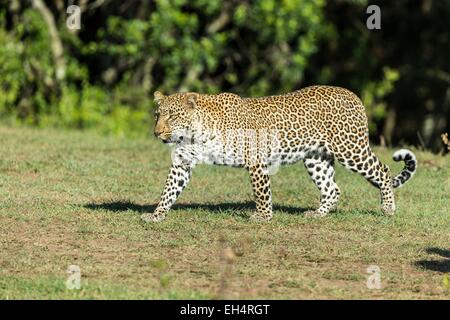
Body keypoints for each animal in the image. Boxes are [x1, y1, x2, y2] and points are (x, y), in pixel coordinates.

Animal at [142, 85, 418, 222]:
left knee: (383, 170)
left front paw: (263, 217)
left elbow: (261, 192)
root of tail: (354, 95)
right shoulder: (182, 162)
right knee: (332, 189)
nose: (156, 133)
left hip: (350, 148)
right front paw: (157, 215)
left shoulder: (256, 160)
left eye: (172, 116)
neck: (196, 131)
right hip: (316, 158)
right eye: (157, 115)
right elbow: (169, 190)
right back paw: (317, 214)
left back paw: (388, 209)